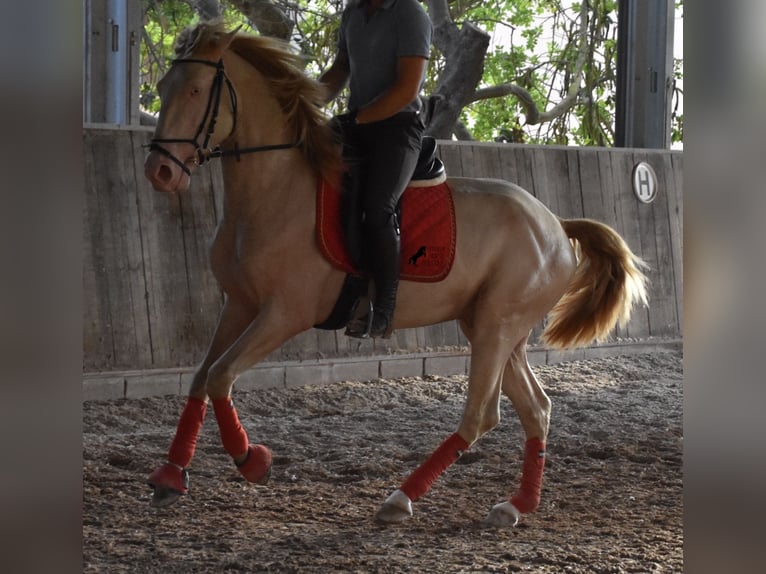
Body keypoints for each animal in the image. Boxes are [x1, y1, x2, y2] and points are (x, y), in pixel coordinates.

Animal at [142, 22, 648, 528]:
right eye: (163, 87)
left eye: (194, 89)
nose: (160, 171)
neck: (275, 191)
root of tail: (556, 225)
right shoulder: (239, 304)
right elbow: (201, 378)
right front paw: (170, 476)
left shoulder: (284, 314)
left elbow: (221, 375)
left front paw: (252, 460)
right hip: (498, 330)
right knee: (535, 409)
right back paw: (515, 505)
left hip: (496, 327)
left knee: (480, 415)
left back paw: (401, 498)